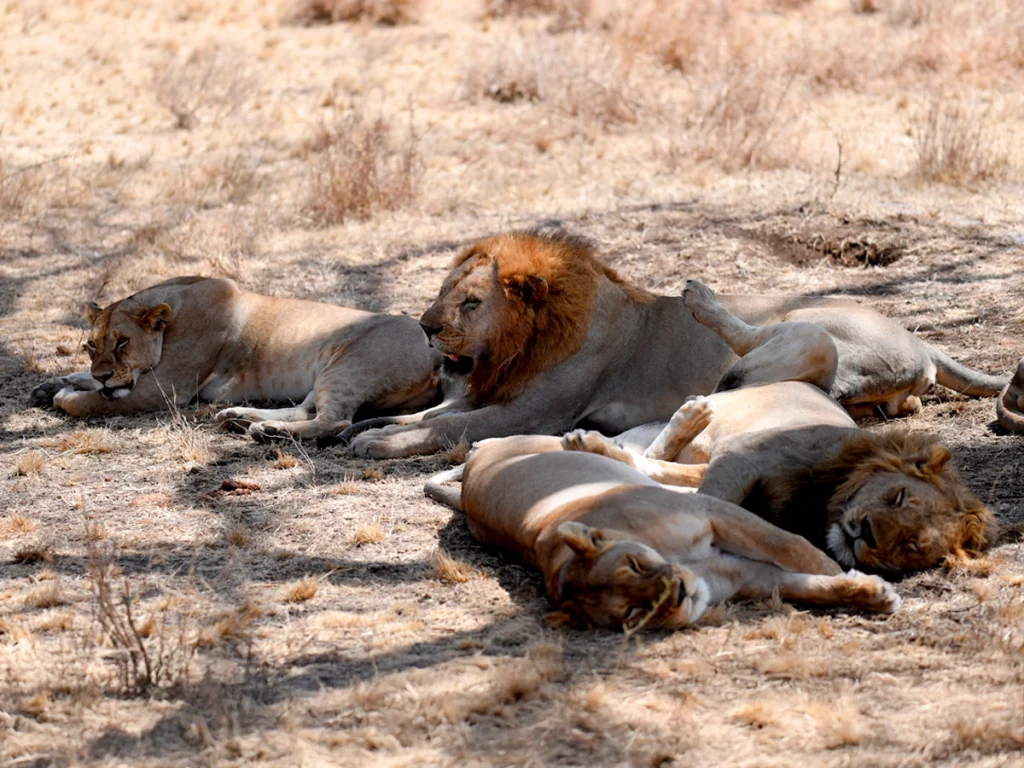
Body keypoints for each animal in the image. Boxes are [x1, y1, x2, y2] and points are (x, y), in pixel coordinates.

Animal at [30, 278, 440, 442]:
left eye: (123, 343)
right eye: (90, 345)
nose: (103, 375)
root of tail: (439, 354)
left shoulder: (166, 390)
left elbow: (93, 402)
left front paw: (65, 396)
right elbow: (81, 377)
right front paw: (51, 385)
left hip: (347, 366)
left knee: (334, 420)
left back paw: (266, 431)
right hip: (328, 373)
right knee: (306, 410)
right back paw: (240, 419)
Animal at [419, 434, 901, 630]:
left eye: (635, 564)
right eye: (635, 614)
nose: (677, 593)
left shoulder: (713, 512)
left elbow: (796, 548)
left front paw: (852, 574)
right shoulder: (748, 577)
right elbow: (807, 586)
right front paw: (868, 593)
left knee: (645, 456)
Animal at [557, 280, 995, 573]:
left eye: (912, 546)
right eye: (899, 497)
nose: (866, 534)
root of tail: (919, 343)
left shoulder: (714, 466)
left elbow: (669, 477)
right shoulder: (742, 457)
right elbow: (705, 499)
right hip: (813, 339)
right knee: (748, 340)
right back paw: (700, 300)